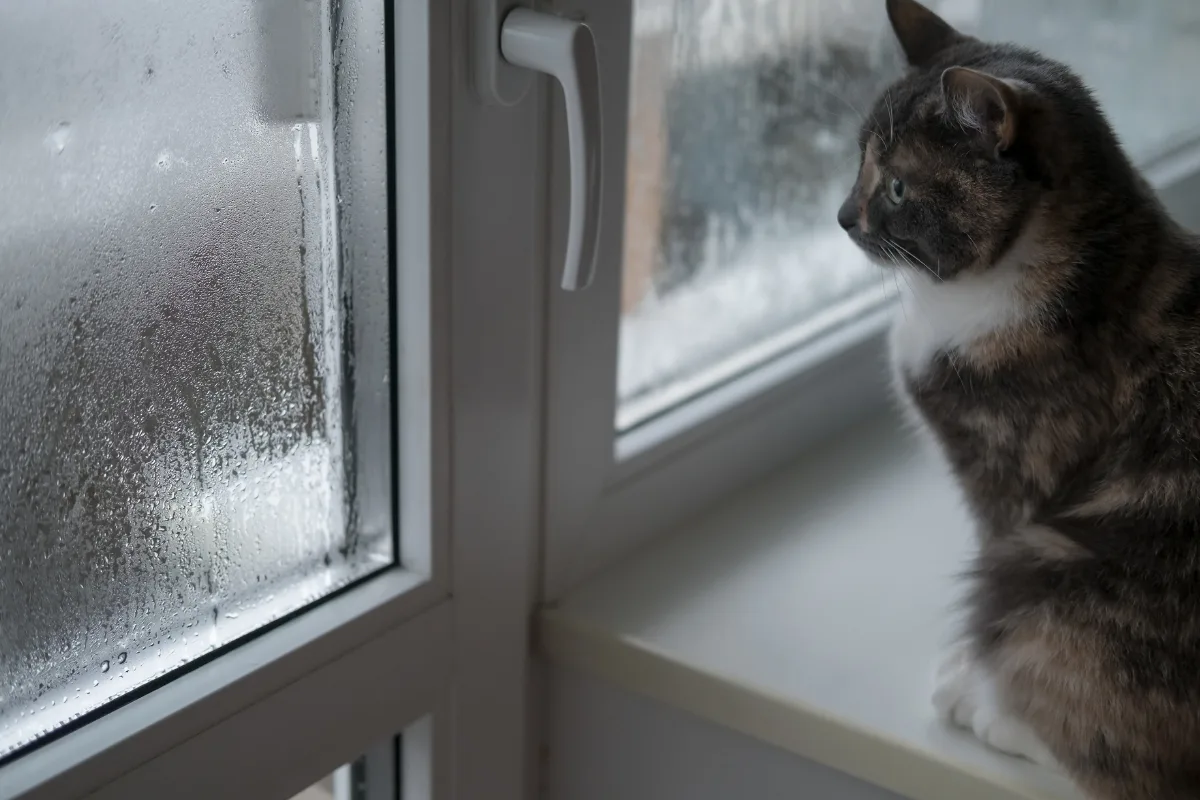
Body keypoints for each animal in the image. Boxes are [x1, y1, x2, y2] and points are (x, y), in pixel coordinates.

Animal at [840, 1, 1200, 796]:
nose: (843, 216)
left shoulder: (1010, 481)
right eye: (858, 160)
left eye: (899, 188)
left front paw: (974, 678)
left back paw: (986, 711)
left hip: (1047, 570)